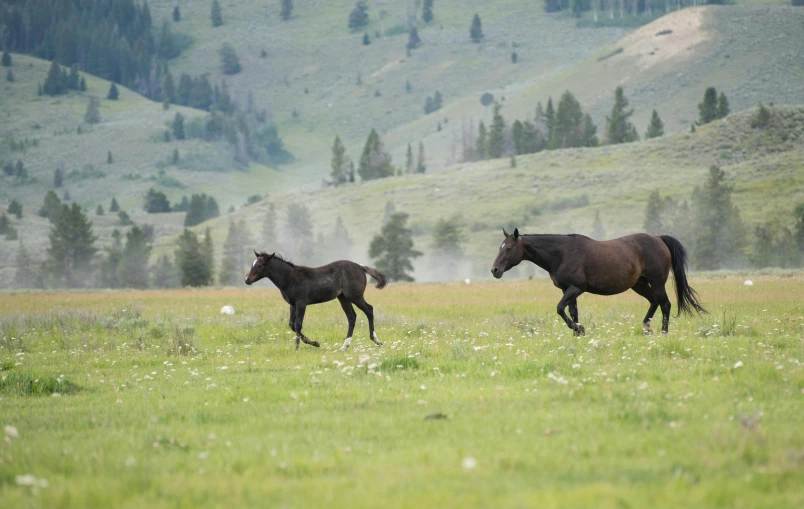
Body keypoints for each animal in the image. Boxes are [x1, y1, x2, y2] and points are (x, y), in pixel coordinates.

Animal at [245, 253, 386, 350]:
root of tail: (360, 267)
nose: (247, 279)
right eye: (252, 264)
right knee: (352, 316)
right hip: (343, 297)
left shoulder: (301, 303)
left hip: (355, 296)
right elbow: (291, 325)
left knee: (369, 310)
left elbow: (298, 325)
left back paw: (376, 340)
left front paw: (296, 347)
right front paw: (315, 343)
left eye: (260, 265)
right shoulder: (292, 305)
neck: (290, 278)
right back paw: (344, 346)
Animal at [490, 229, 704, 334]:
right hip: (639, 284)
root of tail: (659, 239)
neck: (562, 253)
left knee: (665, 304)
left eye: (509, 248)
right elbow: (572, 311)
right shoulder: (567, 290)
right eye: (500, 247)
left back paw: (663, 332)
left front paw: (579, 329)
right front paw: (577, 333)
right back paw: (646, 328)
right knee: (654, 302)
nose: (494, 270)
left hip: (657, 281)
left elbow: (560, 309)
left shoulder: (576, 288)